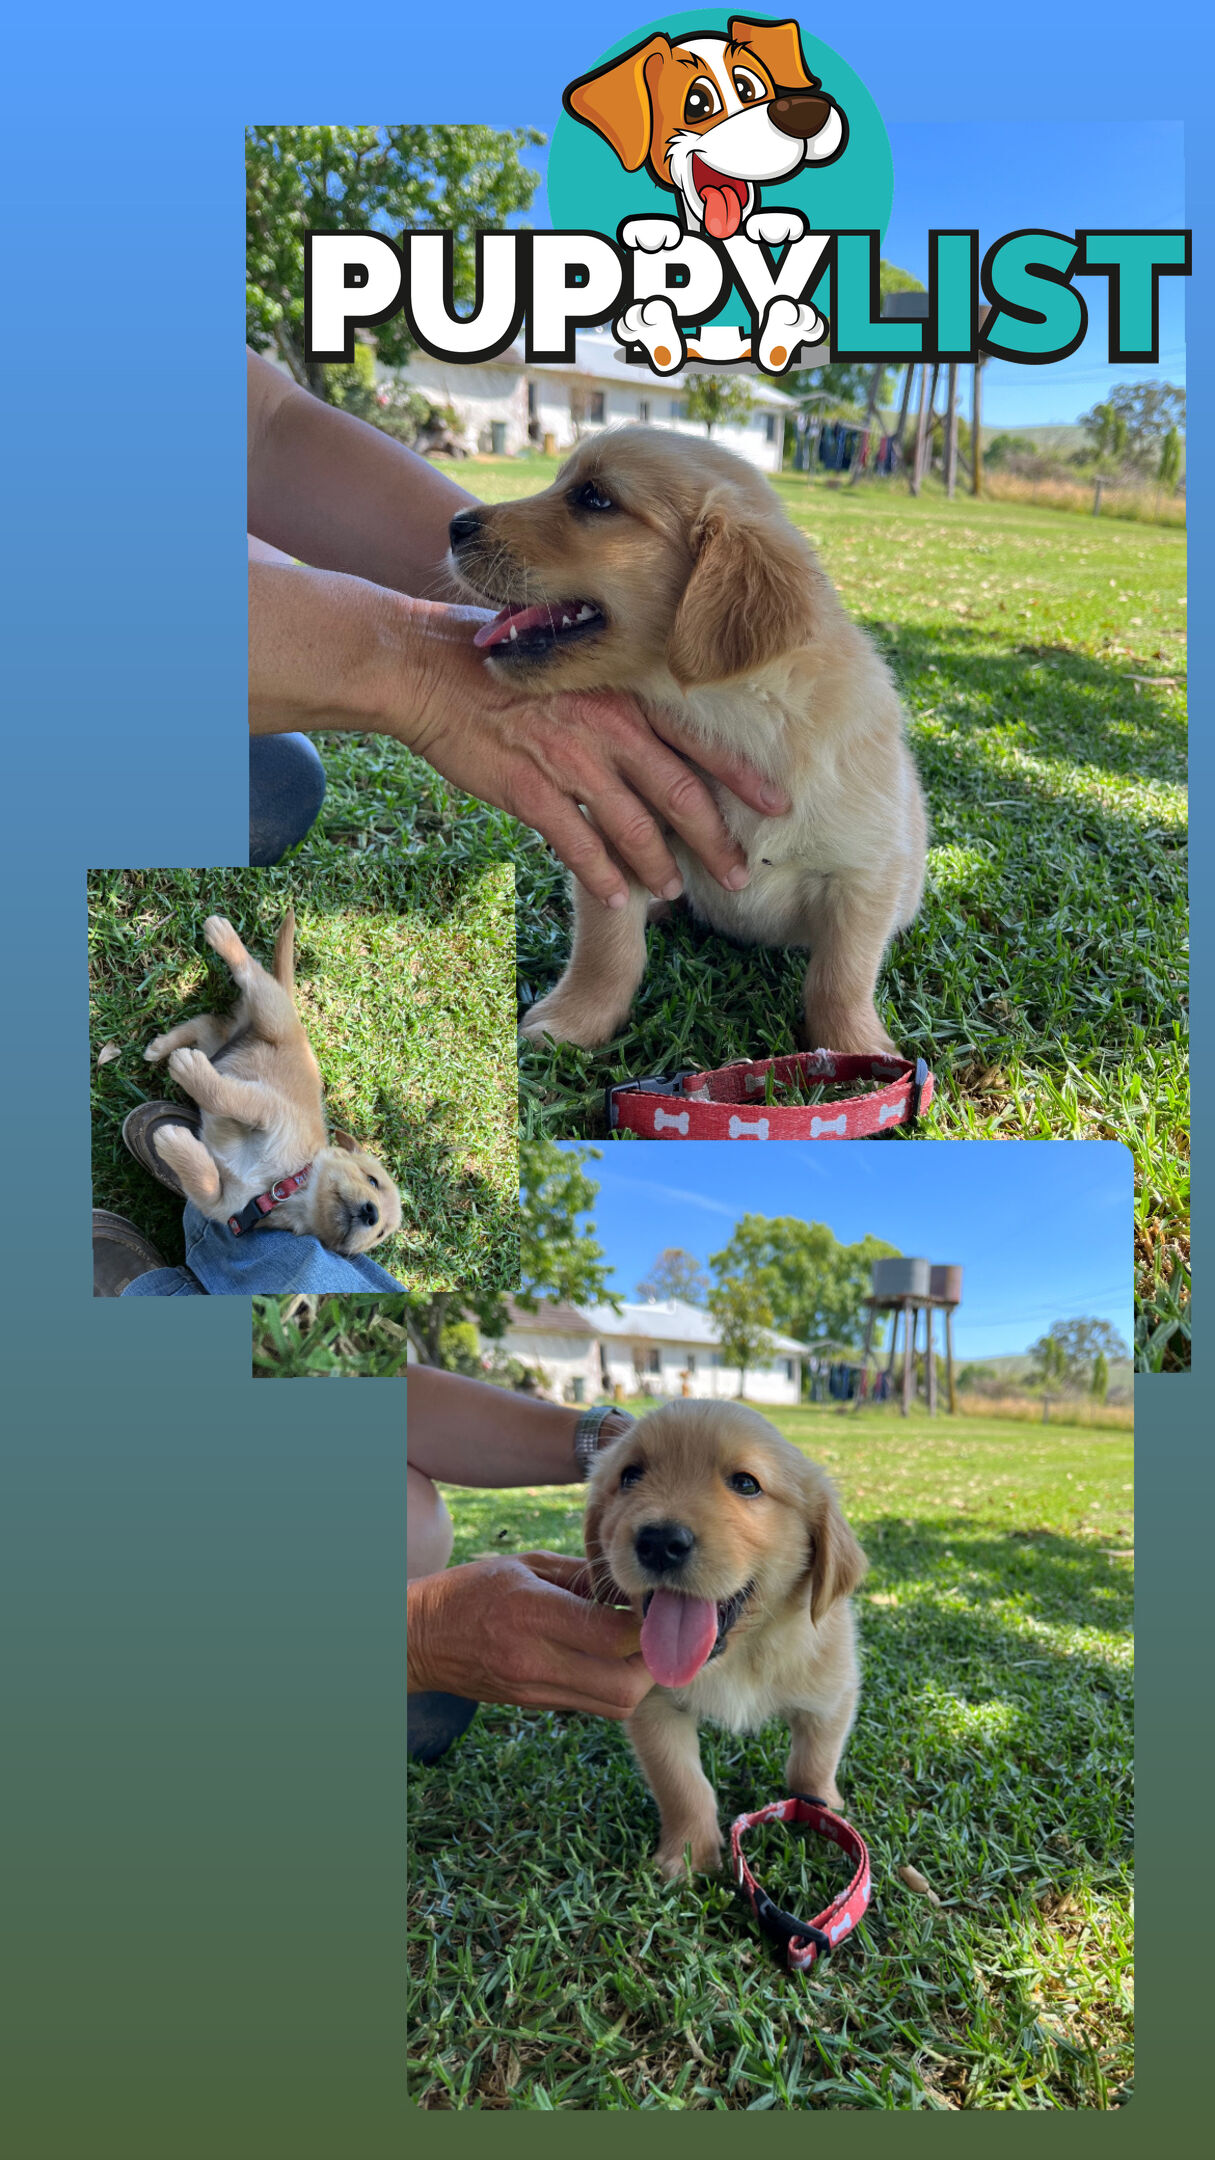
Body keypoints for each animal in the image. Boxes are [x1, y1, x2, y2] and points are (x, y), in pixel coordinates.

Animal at [449, 423, 920, 1062]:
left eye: (595, 497)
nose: (454, 526)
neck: (732, 717)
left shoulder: (865, 871)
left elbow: (842, 976)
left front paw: (858, 1048)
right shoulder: (624, 834)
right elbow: (606, 948)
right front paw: (577, 1020)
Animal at [583, 1399, 860, 1874]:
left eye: (746, 1483)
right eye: (630, 1476)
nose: (660, 1541)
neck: (738, 1655)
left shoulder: (832, 1690)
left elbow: (813, 1763)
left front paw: (823, 1812)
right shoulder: (653, 1707)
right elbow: (682, 1784)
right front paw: (688, 1854)